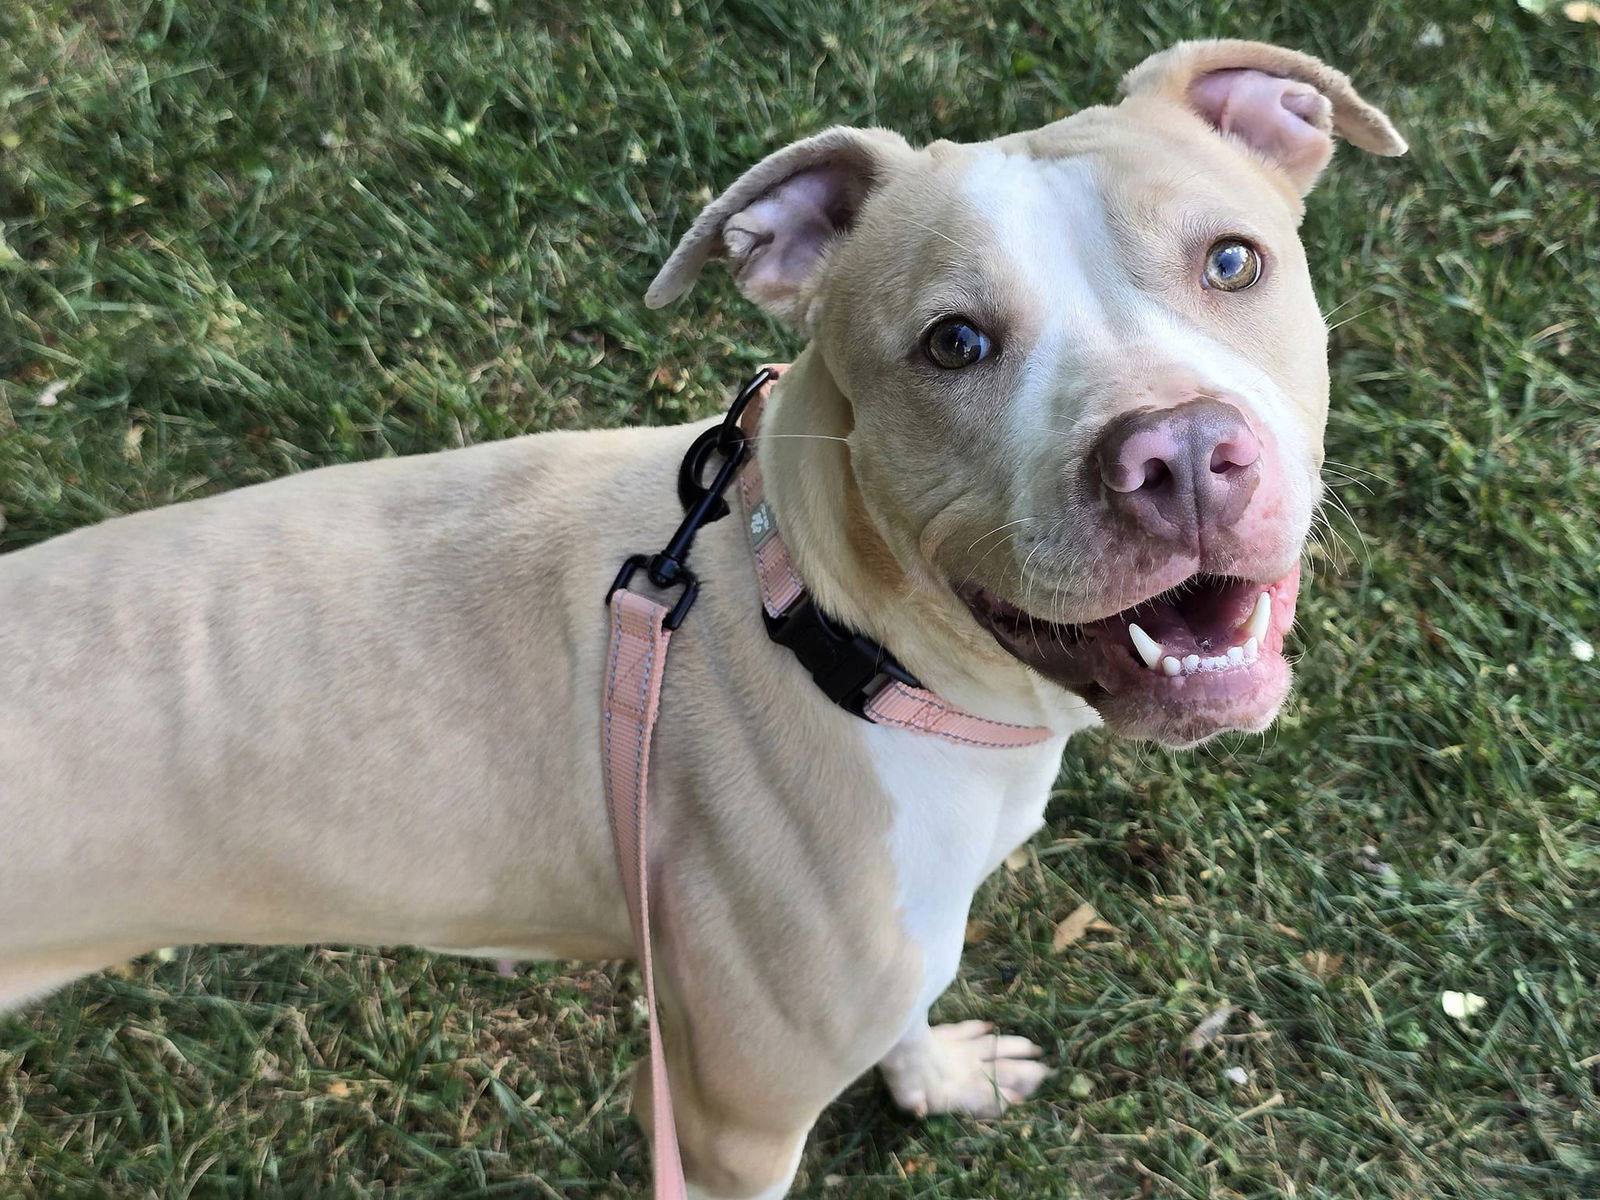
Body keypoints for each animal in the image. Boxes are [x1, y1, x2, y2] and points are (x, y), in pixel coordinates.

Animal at [3, 37, 1401, 1200]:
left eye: (1233, 260)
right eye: (951, 343)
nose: (1180, 455)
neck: (831, 632)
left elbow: (908, 1013)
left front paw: (937, 1077)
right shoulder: (728, 1117)